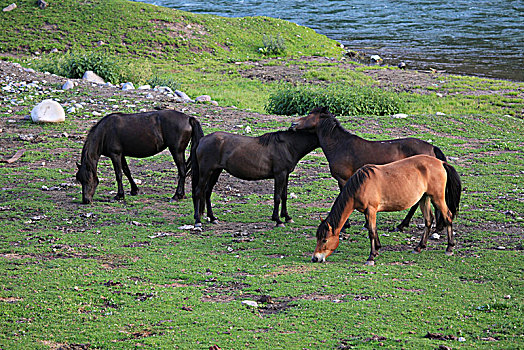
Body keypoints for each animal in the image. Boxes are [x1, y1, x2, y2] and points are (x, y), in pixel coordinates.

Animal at [75, 108, 203, 202]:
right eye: (80, 180)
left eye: (88, 179)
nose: (86, 200)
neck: (105, 132)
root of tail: (189, 118)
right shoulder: (121, 155)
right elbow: (127, 171)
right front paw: (134, 190)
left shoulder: (115, 155)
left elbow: (118, 175)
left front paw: (119, 195)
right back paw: (181, 195)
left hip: (176, 151)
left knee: (182, 171)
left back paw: (177, 196)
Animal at [190, 129, 318, 227]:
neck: (287, 145)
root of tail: (202, 140)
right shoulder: (279, 175)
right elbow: (277, 197)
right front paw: (277, 220)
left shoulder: (285, 175)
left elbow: (284, 196)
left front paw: (287, 217)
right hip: (206, 172)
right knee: (198, 191)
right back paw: (197, 220)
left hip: (215, 171)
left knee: (207, 192)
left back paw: (212, 217)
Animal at [288, 106, 448, 232]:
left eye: (310, 114)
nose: (293, 124)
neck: (340, 145)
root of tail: (431, 148)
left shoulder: (343, 179)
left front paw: (346, 225)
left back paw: (403, 225)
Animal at [312, 155, 462, 266]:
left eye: (324, 240)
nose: (315, 258)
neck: (361, 185)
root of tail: (441, 163)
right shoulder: (369, 212)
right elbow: (373, 229)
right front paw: (377, 249)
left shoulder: (371, 210)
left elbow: (371, 232)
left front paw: (371, 257)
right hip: (424, 198)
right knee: (429, 220)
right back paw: (419, 247)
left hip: (437, 198)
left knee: (448, 216)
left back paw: (449, 248)